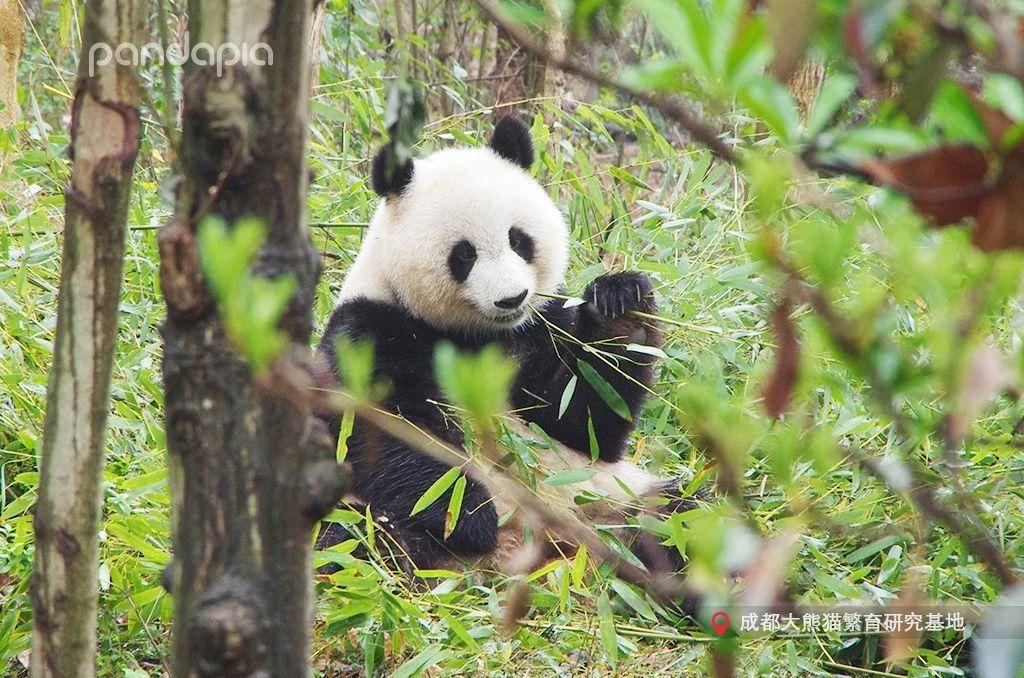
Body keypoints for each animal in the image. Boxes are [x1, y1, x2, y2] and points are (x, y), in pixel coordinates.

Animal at [313, 115, 696, 573]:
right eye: (463, 255)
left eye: (519, 239)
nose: (512, 299)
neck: (474, 334)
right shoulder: (365, 331)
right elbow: (386, 429)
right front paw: (468, 515)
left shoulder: (538, 329)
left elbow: (582, 422)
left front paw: (621, 310)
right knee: (355, 540)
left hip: (612, 498)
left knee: (685, 518)